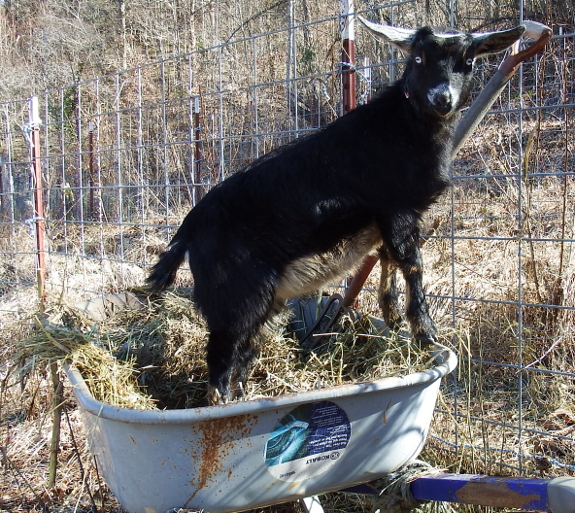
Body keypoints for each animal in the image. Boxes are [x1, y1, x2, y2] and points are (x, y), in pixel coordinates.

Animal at [148, 20, 528, 402]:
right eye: (418, 58)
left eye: (469, 61)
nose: (442, 98)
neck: (403, 128)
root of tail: (188, 229)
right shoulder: (396, 207)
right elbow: (412, 263)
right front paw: (424, 330)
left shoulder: (391, 219)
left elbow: (388, 258)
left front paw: (392, 316)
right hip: (234, 294)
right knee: (221, 357)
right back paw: (224, 406)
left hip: (262, 299)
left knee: (244, 351)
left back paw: (244, 397)